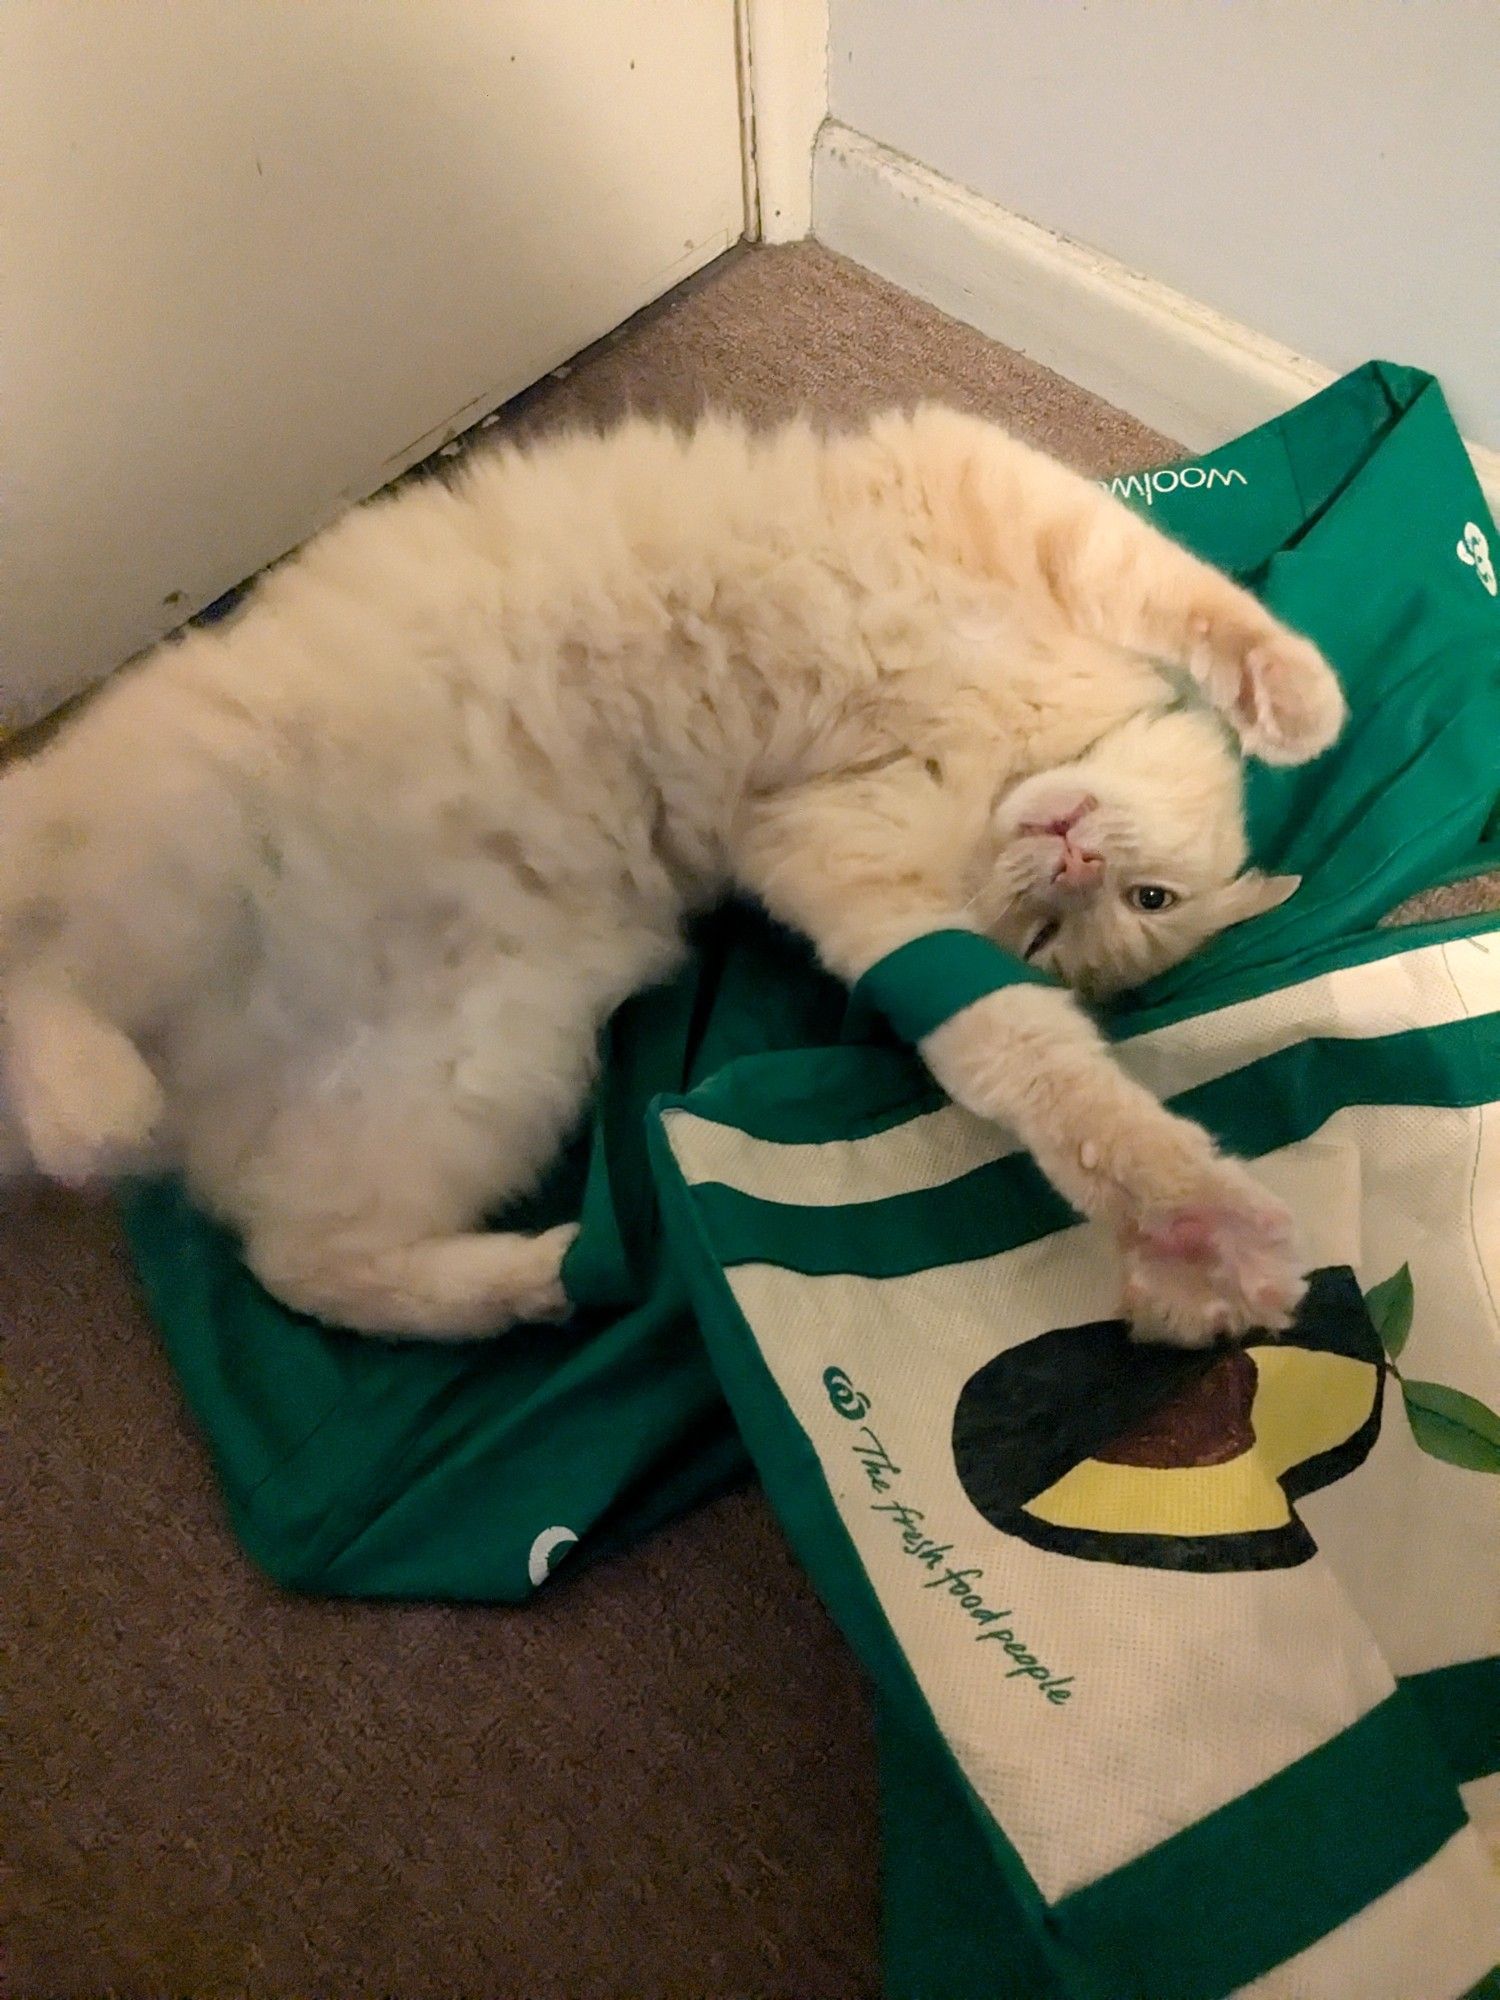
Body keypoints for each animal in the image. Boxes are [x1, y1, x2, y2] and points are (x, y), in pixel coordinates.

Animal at [0, 402, 1344, 1344]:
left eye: (1098, 923)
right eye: (1135, 902)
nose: (1068, 860)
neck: (992, 756)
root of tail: (195, 1067)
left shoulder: (863, 893)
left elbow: (1053, 1084)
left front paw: (1201, 1234)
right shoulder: (998, 497)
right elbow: (1192, 597)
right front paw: (1293, 701)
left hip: (475, 1074)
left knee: (299, 1260)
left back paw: (535, 1280)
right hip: (186, 835)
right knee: (41, 967)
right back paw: (89, 1096)